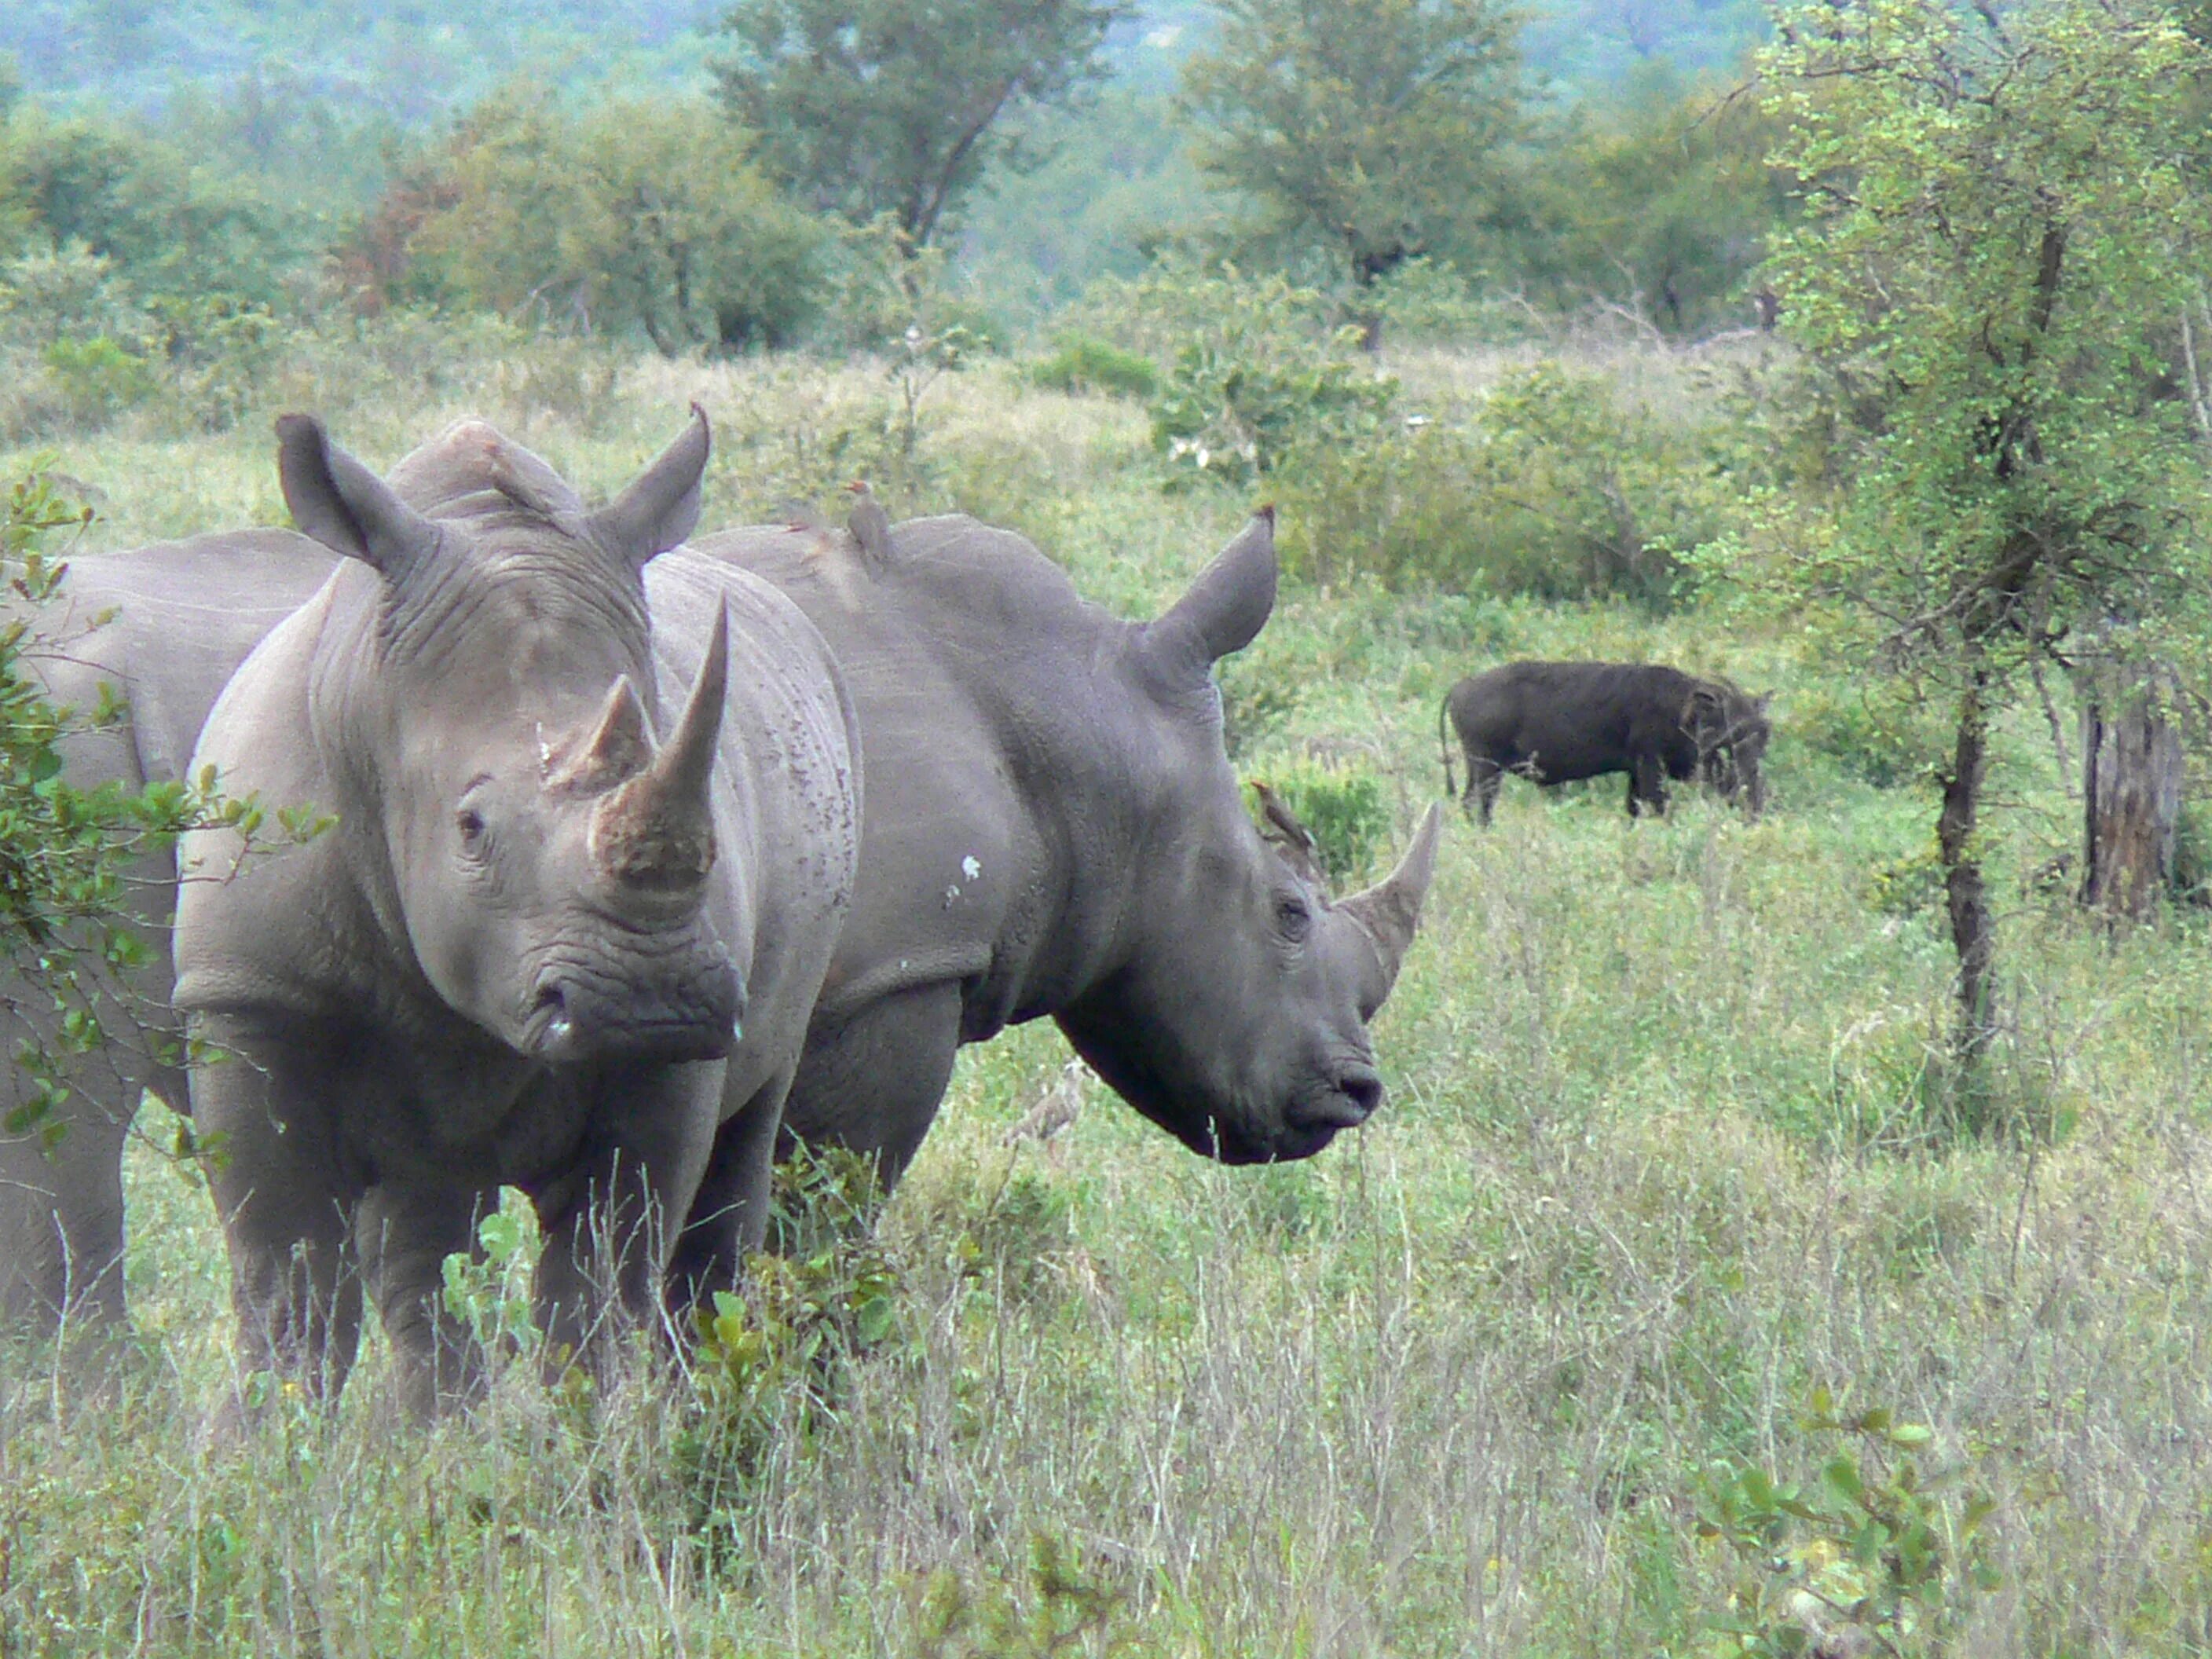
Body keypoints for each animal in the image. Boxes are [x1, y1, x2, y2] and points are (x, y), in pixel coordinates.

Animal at [168, 416, 858, 1415]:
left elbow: (602, 1276)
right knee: (421, 1224)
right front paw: (272, 1441)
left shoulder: (676, 1051)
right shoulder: (253, 994)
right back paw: (437, 1428)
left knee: (734, 1168)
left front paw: (590, 1433)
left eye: (708, 840)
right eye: (471, 827)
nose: (651, 1002)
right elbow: (286, 1274)